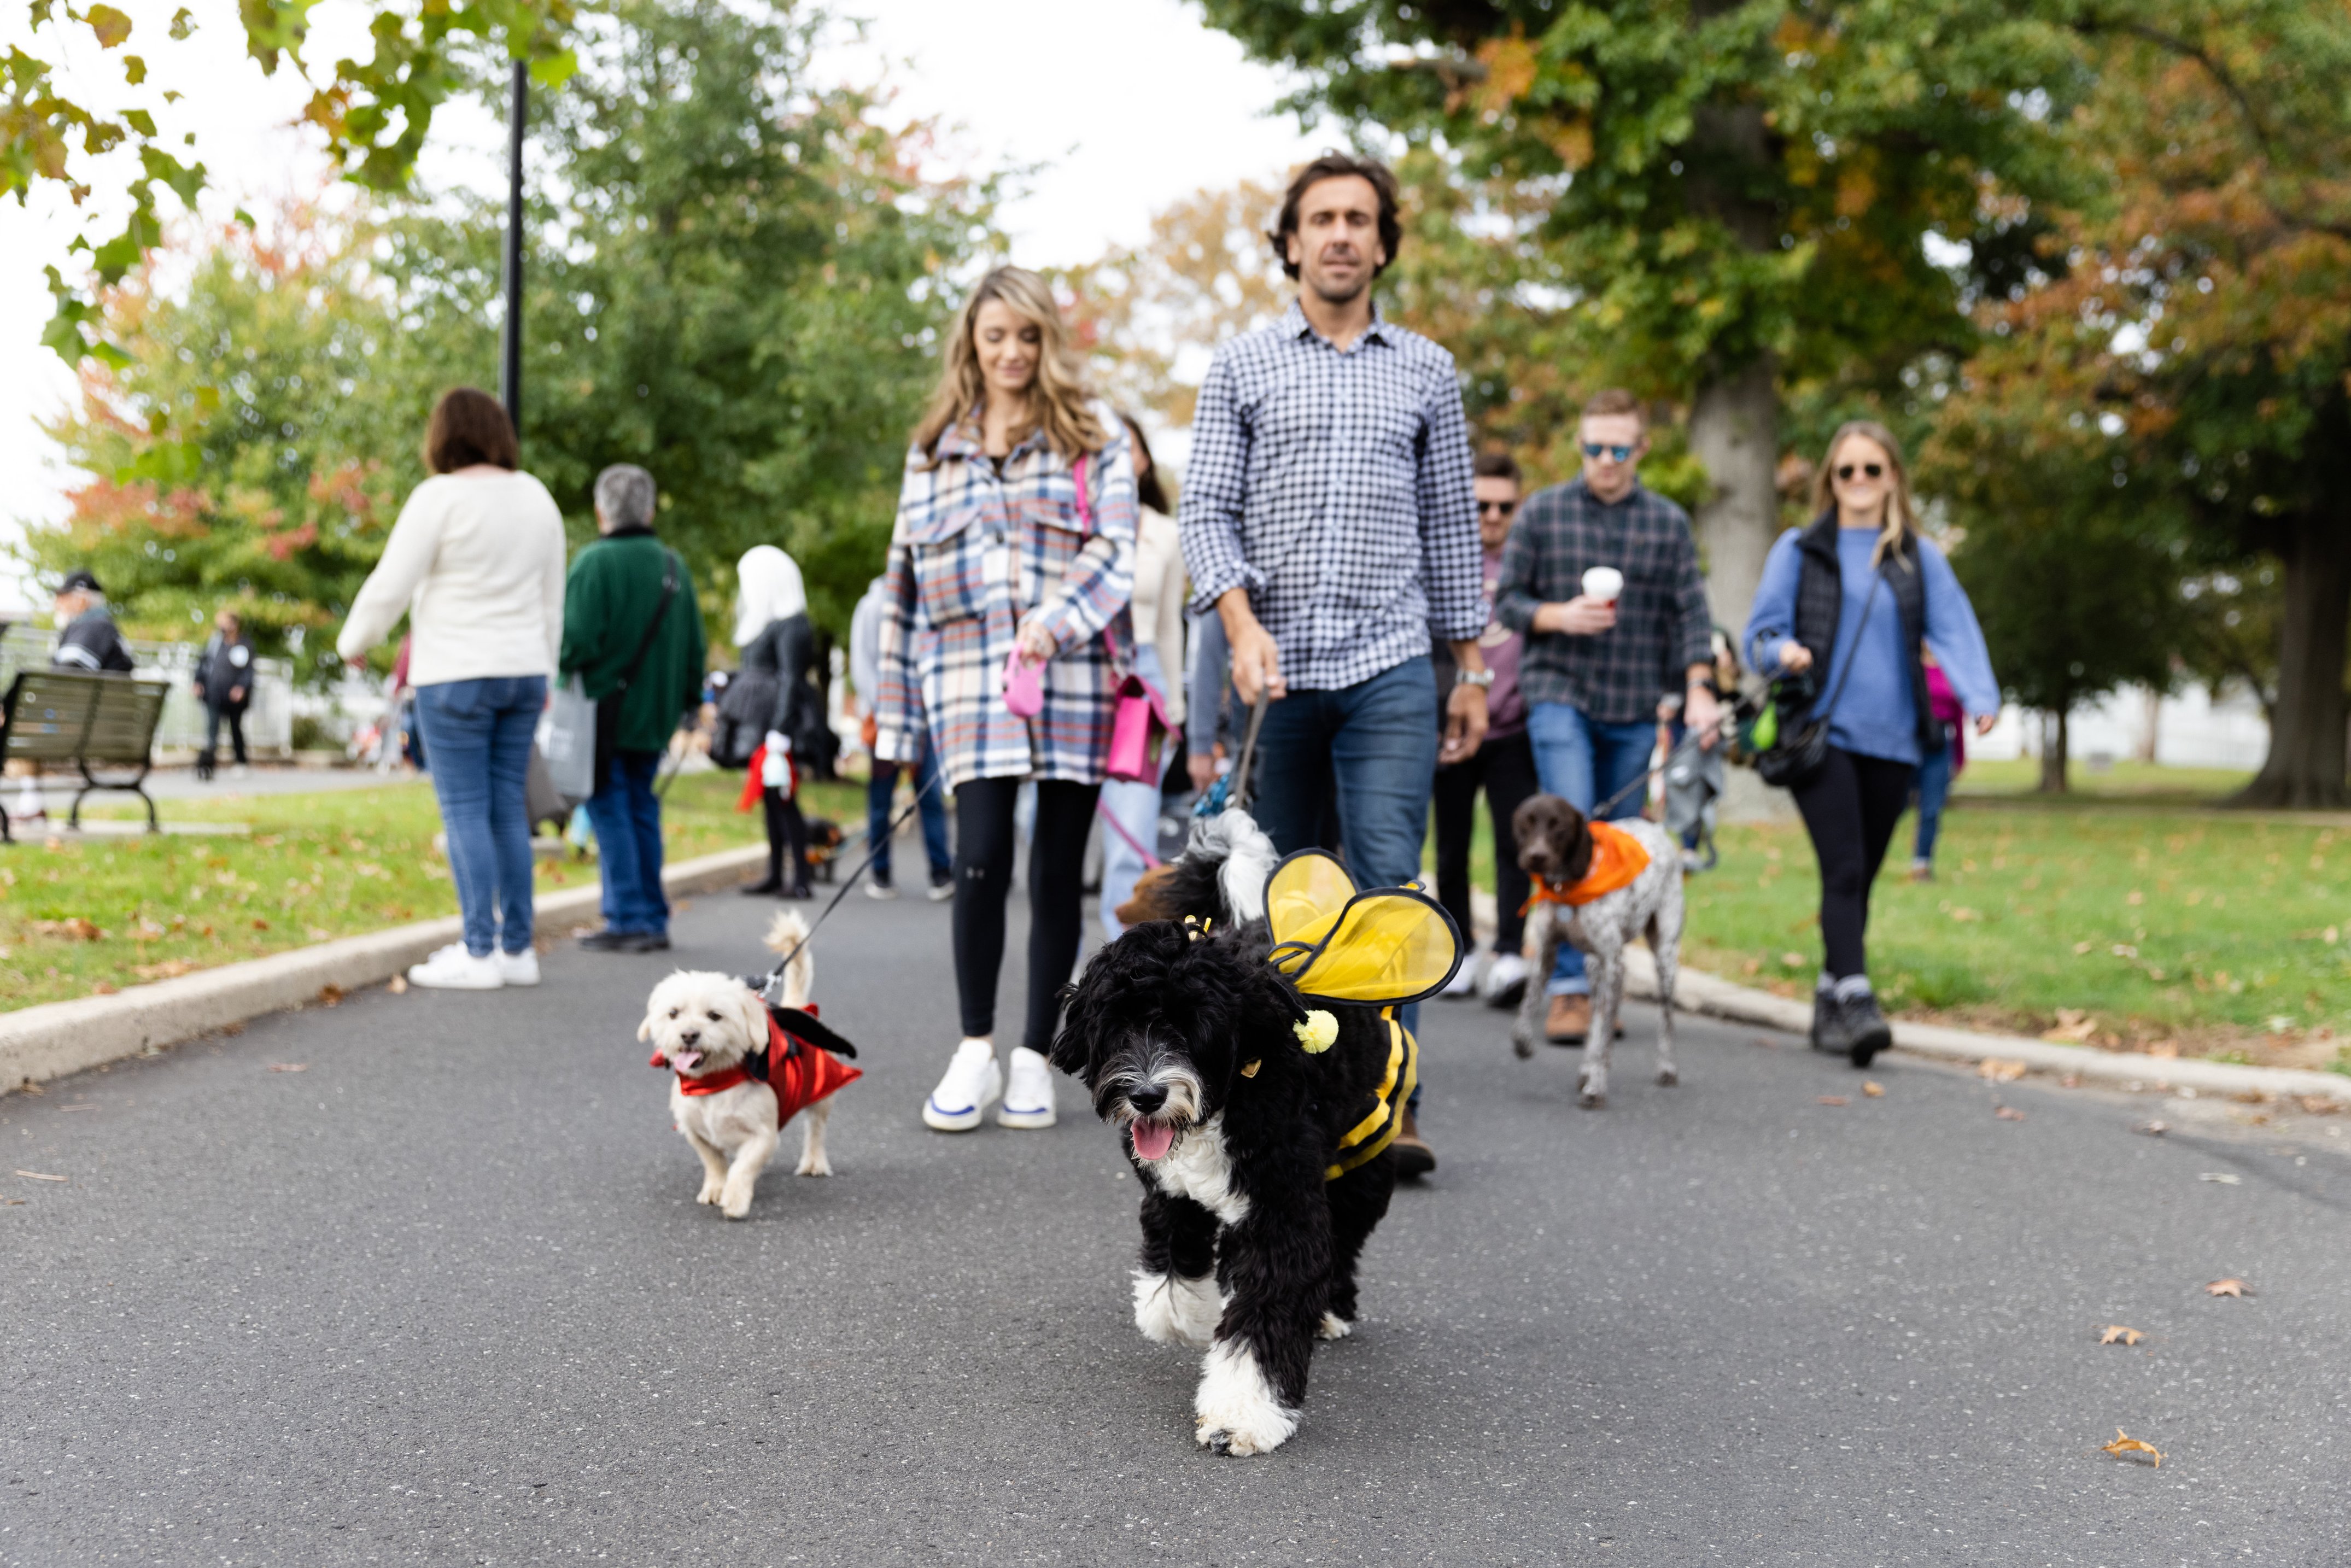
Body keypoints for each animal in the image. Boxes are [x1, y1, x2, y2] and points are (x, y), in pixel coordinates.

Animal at [639, 907, 860, 1222]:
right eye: (673, 1014)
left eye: (715, 1016)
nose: (689, 1035)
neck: (713, 1083)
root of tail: (798, 1008)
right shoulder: (695, 1132)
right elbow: (715, 1163)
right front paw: (715, 1189)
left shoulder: (763, 1135)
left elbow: (742, 1169)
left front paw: (735, 1200)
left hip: (823, 1094)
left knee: (816, 1130)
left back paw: (814, 1162)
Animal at [1062, 809, 1391, 1457]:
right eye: (1118, 1024)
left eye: (1194, 1028)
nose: (1147, 1095)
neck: (1231, 1095)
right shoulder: (1172, 1192)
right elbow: (1170, 1269)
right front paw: (1190, 1318)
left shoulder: (1279, 1211)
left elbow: (1264, 1311)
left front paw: (1241, 1415)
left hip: (1362, 1155)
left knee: (1345, 1234)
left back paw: (1330, 1309)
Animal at [1514, 799, 1683, 1104]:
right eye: (1525, 824)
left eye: (1559, 827)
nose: (1536, 857)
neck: (1567, 888)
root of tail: (1657, 829)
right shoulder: (1546, 953)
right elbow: (1526, 1007)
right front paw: (1524, 1044)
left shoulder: (1616, 966)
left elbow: (1606, 1035)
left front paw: (1597, 1087)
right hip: (1594, 968)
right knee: (1595, 1017)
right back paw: (1587, 1067)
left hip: (1664, 957)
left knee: (1665, 1020)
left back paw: (1666, 1068)